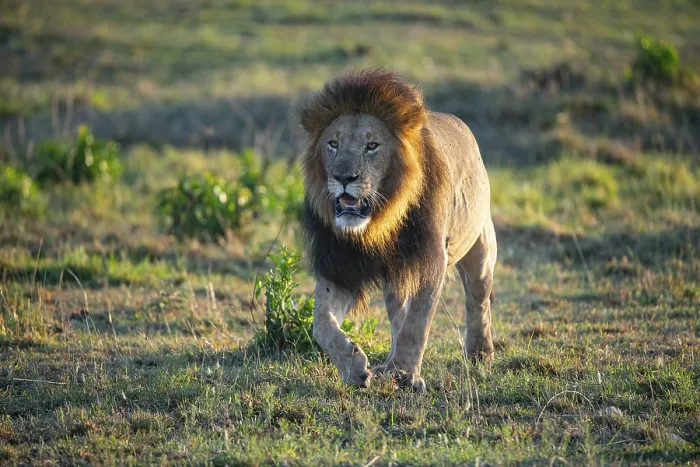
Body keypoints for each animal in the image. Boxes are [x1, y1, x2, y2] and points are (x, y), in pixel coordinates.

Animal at [298, 69, 497, 392]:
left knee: (478, 300)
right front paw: (355, 367)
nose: (343, 177)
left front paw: (404, 374)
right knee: (397, 314)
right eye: (333, 144)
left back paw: (480, 353)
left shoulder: (432, 258)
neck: (377, 224)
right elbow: (321, 324)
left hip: (479, 248)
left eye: (372, 146)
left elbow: (417, 322)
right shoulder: (339, 264)